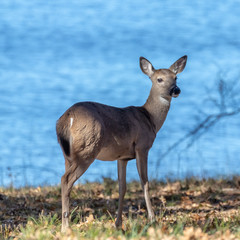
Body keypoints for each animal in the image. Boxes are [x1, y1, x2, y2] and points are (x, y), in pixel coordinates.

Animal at [56, 55, 188, 232]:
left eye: (176, 77)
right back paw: (65, 227)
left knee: (65, 179)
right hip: (87, 148)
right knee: (66, 179)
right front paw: (152, 219)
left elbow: (122, 187)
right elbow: (145, 182)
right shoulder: (142, 146)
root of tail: (67, 118)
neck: (150, 118)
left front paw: (118, 223)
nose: (176, 90)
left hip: (68, 154)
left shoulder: (122, 157)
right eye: (159, 79)